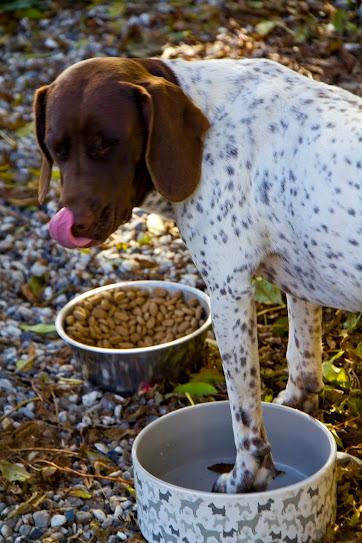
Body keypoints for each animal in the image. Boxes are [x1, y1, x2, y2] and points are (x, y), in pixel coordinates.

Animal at [34, 57, 362, 496]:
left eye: (108, 143)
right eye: (56, 149)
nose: (73, 224)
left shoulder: (228, 292)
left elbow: (245, 415)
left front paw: (246, 477)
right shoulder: (300, 278)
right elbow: (303, 361)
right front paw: (298, 406)